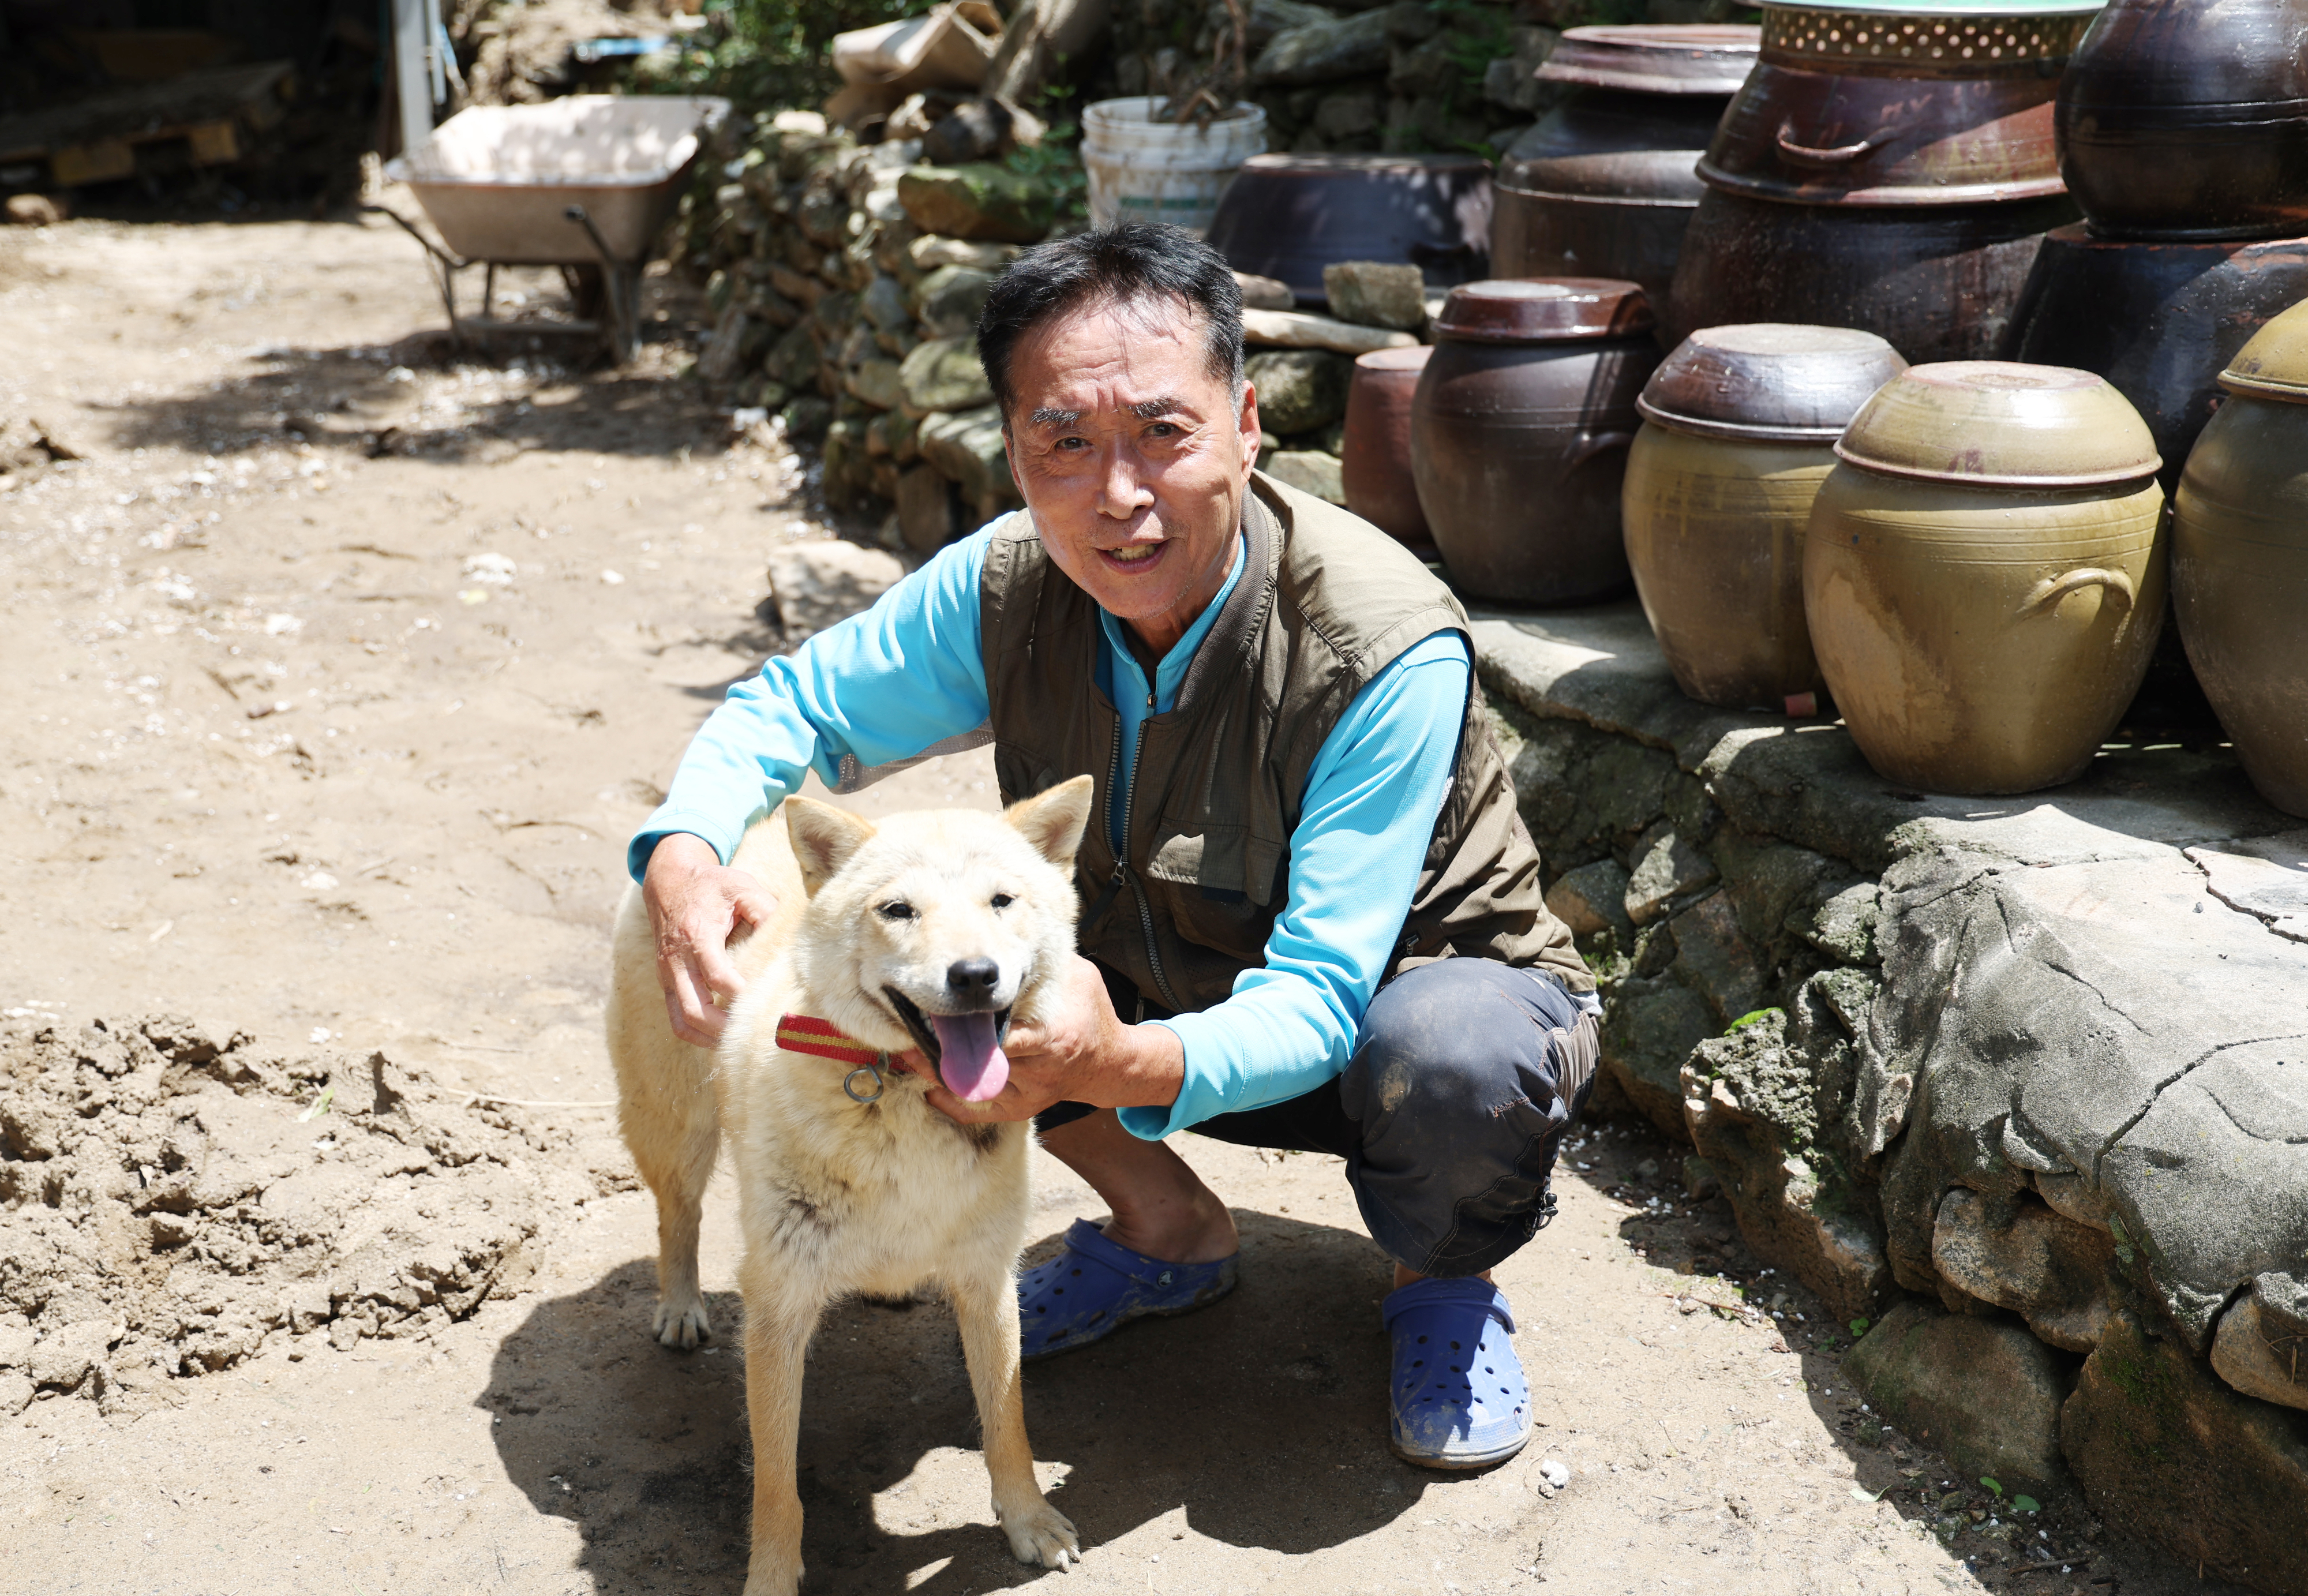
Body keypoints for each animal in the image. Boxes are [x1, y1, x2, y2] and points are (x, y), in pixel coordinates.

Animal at [605, 784, 1089, 1596]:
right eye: (897, 910)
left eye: (1002, 901)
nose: (974, 975)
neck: (904, 1105)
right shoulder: (777, 1306)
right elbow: (775, 1481)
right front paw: (771, 1577)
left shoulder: (988, 1280)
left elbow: (1007, 1421)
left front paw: (1028, 1521)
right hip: (675, 1127)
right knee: (677, 1216)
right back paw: (679, 1306)